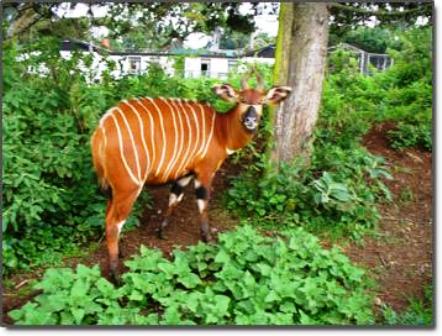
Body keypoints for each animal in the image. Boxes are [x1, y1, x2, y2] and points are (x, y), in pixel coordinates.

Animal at [90, 71, 290, 278]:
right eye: (242, 99)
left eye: (261, 102)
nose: (251, 121)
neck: (221, 131)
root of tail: (99, 134)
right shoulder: (205, 171)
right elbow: (203, 202)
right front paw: (208, 238)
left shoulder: (185, 173)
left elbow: (174, 198)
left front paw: (161, 232)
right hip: (129, 187)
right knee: (114, 224)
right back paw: (116, 275)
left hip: (113, 189)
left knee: (107, 217)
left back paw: (120, 252)